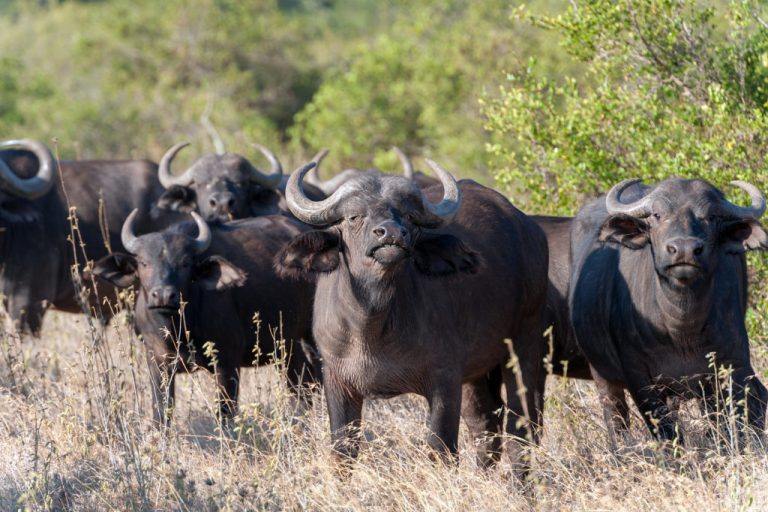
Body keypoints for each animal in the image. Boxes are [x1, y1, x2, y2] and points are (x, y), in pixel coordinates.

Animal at [92, 210, 318, 425]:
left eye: (185, 263)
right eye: (143, 263)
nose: (163, 295)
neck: (177, 329)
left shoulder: (226, 363)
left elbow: (225, 415)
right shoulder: (157, 363)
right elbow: (161, 413)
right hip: (286, 347)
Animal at [275, 160, 549, 471]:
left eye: (407, 216)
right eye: (354, 216)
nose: (391, 234)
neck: (372, 326)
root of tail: (530, 230)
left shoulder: (445, 381)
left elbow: (441, 449)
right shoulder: (336, 380)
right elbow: (343, 450)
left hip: (524, 343)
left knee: (521, 427)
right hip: (477, 371)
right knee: (485, 425)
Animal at [568, 177, 768, 446]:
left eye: (711, 216)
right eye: (657, 215)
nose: (684, 249)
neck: (682, 329)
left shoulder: (733, 367)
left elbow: (734, 423)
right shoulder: (640, 380)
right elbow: (666, 431)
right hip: (603, 376)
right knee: (616, 420)